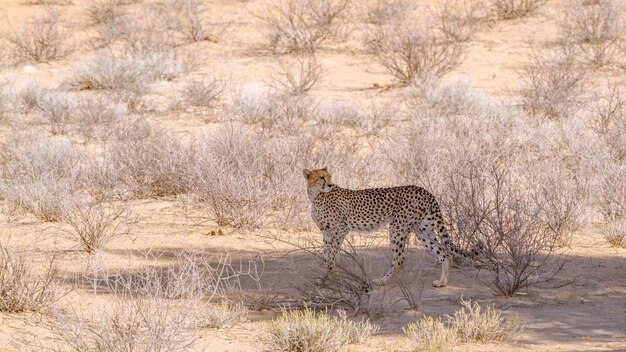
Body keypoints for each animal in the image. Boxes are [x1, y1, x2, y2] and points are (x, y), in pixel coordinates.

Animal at [302, 166, 482, 288]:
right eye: (321, 177)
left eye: (329, 176)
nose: (330, 184)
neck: (316, 195)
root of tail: (424, 190)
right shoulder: (326, 232)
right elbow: (326, 253)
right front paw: (327, 275)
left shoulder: (341, 229)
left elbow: (332, 254)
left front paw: (329, 277)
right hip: (422, 231)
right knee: (445, 253)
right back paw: (442, 282)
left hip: (397, 228)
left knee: (400, 260)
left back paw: (382, 280)